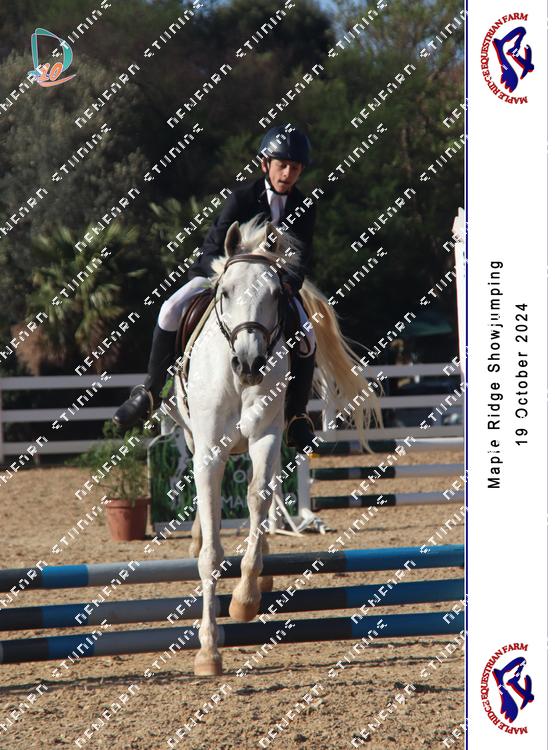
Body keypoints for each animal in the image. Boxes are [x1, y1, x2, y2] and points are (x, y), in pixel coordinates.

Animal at [172, 216, 382, 675]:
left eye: (274, 295)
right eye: (226, 292)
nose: (249, 364)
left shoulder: (265, 437)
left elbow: (256, 497)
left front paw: (245, 599)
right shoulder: (209, 449)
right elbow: (211, 549)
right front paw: (208, 649)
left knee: (262, 498)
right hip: (193, 437)